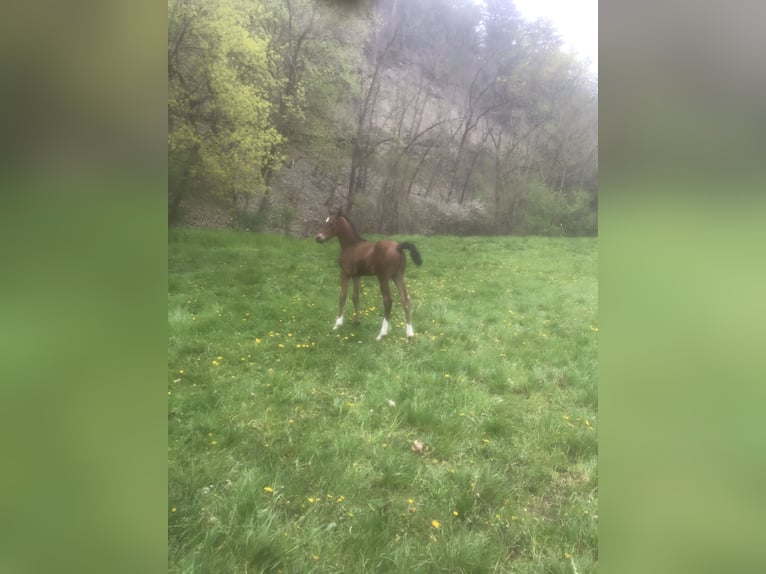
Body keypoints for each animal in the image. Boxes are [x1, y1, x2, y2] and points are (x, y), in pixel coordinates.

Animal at [318, 214, 426, 344]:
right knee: (405, 299)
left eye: (331, 224)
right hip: (398, 276)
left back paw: (381, 335)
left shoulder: (345, 273)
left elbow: (342, 296)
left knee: (388, 300)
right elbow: (355, 297)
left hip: (383, 277)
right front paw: (357, 322)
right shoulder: (356, 275)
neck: (351, 246)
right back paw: (409, 335)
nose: (318, 238)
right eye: (325, 222)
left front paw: (337, 324)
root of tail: (398, 247)